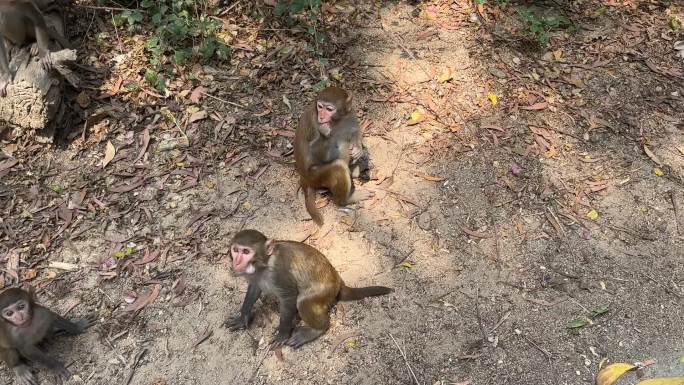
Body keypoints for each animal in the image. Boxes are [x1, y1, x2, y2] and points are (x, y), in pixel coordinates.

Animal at [224, 230, 392, 350]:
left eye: (246, 252)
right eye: (235, 250)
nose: (237, 262)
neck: (264, 264)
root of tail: (337, 282)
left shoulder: (277, 273)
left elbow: (290, 296)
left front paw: (282, 334)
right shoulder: (254, 276)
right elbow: (254, 289)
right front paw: (243, 318)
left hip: (324, 292)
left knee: (303, 301)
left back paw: (317, 329)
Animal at [292, 86, 372, 225]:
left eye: (329, 109)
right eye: (320, 107)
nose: (322, 116)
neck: (336, 121)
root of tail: (304, 179)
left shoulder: (350, 114)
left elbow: (355, 130)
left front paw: (359, 149)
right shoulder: (315, 123)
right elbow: (314, 152)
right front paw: (325, 133)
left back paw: (355, 169)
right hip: (316, 177)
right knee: (338, 166)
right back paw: (346, 199)